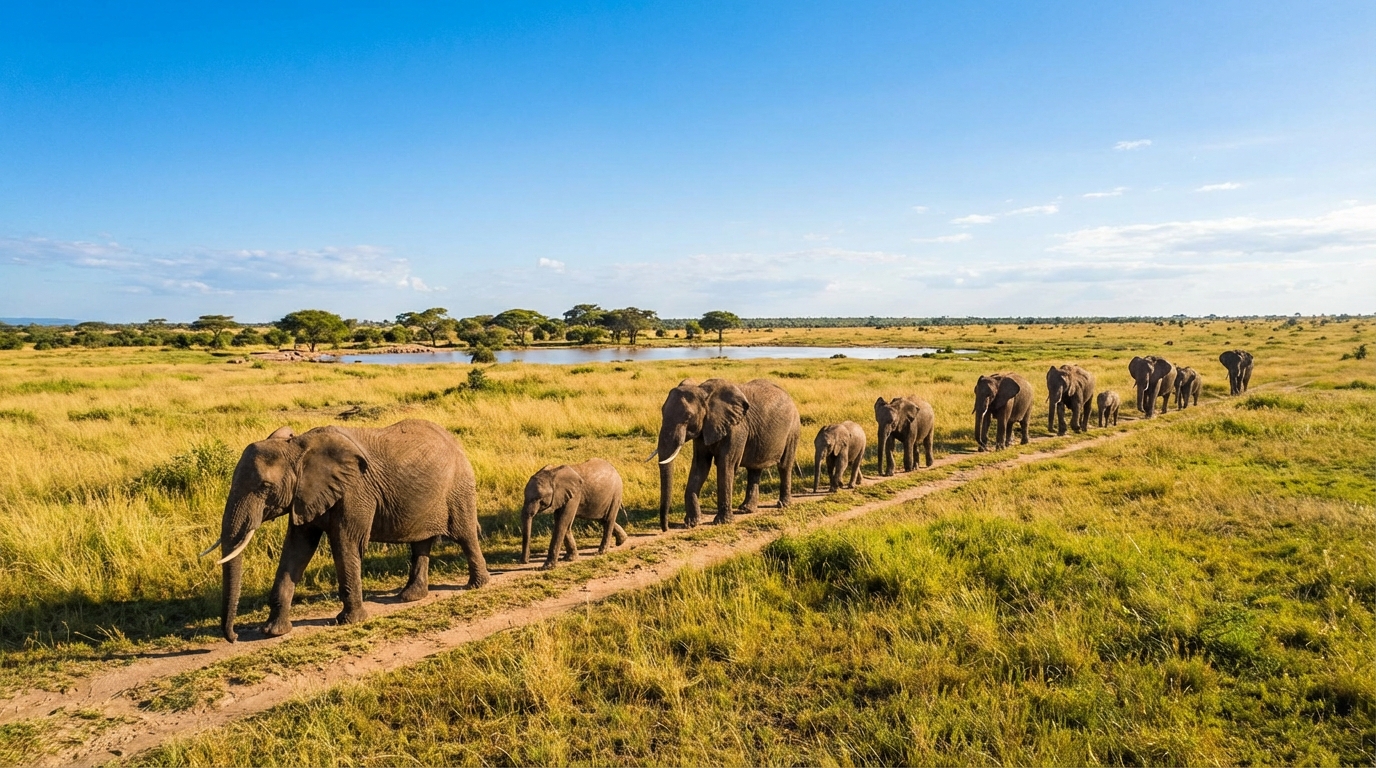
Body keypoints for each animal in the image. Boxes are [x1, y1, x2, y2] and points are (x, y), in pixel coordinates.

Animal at [208, 420, 488, 643]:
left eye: (265, 486)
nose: (234, 636)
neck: (296, 447)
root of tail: (454, 440)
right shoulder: (304, 496)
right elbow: (297, 549)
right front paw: (272, 632)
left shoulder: (355, 491)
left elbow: (346, 543)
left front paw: (350, 620)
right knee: (421, 542)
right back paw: (410, 597)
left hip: (459, 487)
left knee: (465, 535)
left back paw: (477, 585)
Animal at [654, 378, 801, 530]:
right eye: (662, 412)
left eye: (688, 417)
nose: (666, 528)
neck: (704, 392)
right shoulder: (703, 431)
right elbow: (700, 466)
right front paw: (691, 523)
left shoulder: (736, 429)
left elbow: (726, 465)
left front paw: (722, 522)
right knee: (754, 469)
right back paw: (746, 509)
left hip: (793, 429)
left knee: (784, 465)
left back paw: (782, 505)